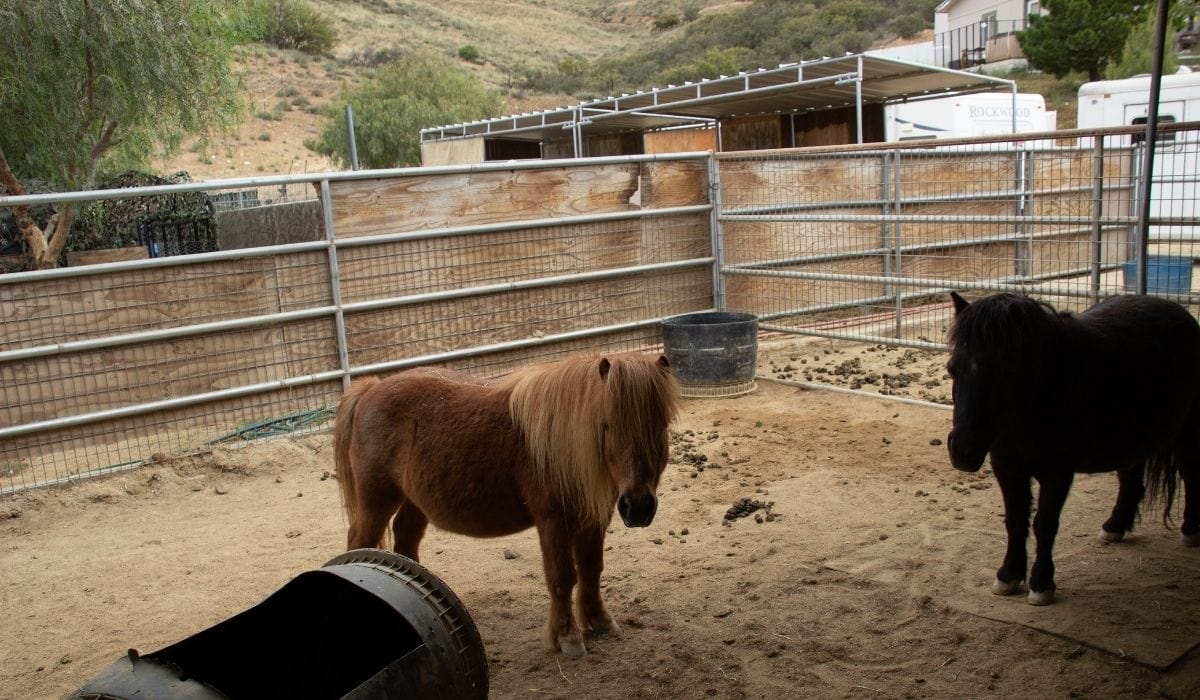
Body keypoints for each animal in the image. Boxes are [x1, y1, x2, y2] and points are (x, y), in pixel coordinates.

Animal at [333, 355, 681, 657]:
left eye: (661, 425)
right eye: (606, 425)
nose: (638, 506)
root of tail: (371, 388)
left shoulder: (593, 517)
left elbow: (591, 569)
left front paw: (599, 620)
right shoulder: (553, 520)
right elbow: (562, 577)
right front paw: (567, 636)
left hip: (415, 501)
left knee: (405, 540)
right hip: (377, 500)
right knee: (360, 541)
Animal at [945, 292, 1200, 605]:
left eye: (1005, 371)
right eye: (952, 369)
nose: (963, 451)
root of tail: (1181, 312)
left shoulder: (1058, 473)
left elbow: (1044, 525)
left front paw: (1041, 584)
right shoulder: (1007, 467)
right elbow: (1015, 520)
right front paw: (1008, 576)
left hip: (1187, 431)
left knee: (1190, 475)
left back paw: (1190, 531)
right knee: (1132, 481)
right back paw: (1114, 527)